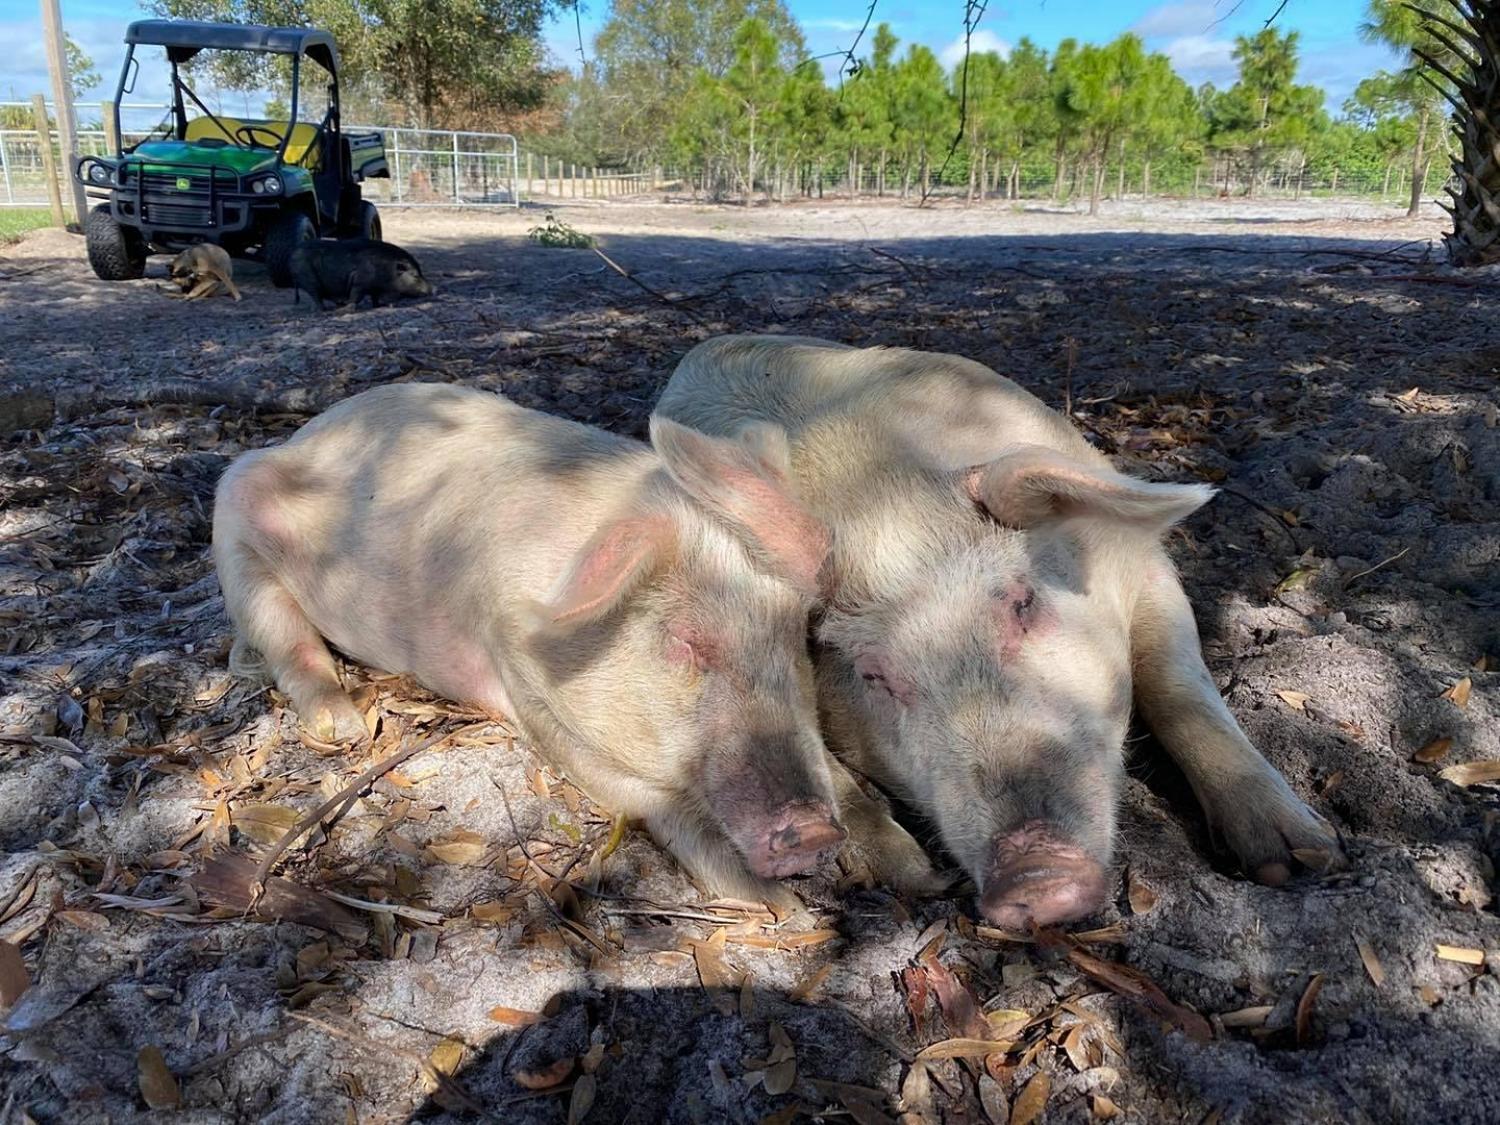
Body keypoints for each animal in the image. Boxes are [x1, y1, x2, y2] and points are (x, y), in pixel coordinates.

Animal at [211, 387, 936, 906]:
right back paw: (344, 726)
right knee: (281, 635)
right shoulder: (516, 677)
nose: (813, 832)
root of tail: (310, 430)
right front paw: (775, 906)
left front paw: (920, 871)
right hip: (233, 515)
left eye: (795, 633)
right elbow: (641, 791)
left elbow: (836, 770)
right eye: (685, 641)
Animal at [289, 237, 435, 309]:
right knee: (315, 295)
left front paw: (381, 305)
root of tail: (293, 252)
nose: (434, 289)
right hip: (306, 277)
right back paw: (324, 310)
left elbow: (375, 298)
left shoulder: (375, 287)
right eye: (415, 275)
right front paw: (348, 307)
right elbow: (356, 296)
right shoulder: (359, 282)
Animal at [657, 337, 1350, 936]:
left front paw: (1302, 860)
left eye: (1024, 603)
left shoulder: (1147, 566)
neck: (883, 496)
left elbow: (1180, 688)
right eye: (874, 675)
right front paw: (913, 877)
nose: (1034, 873)